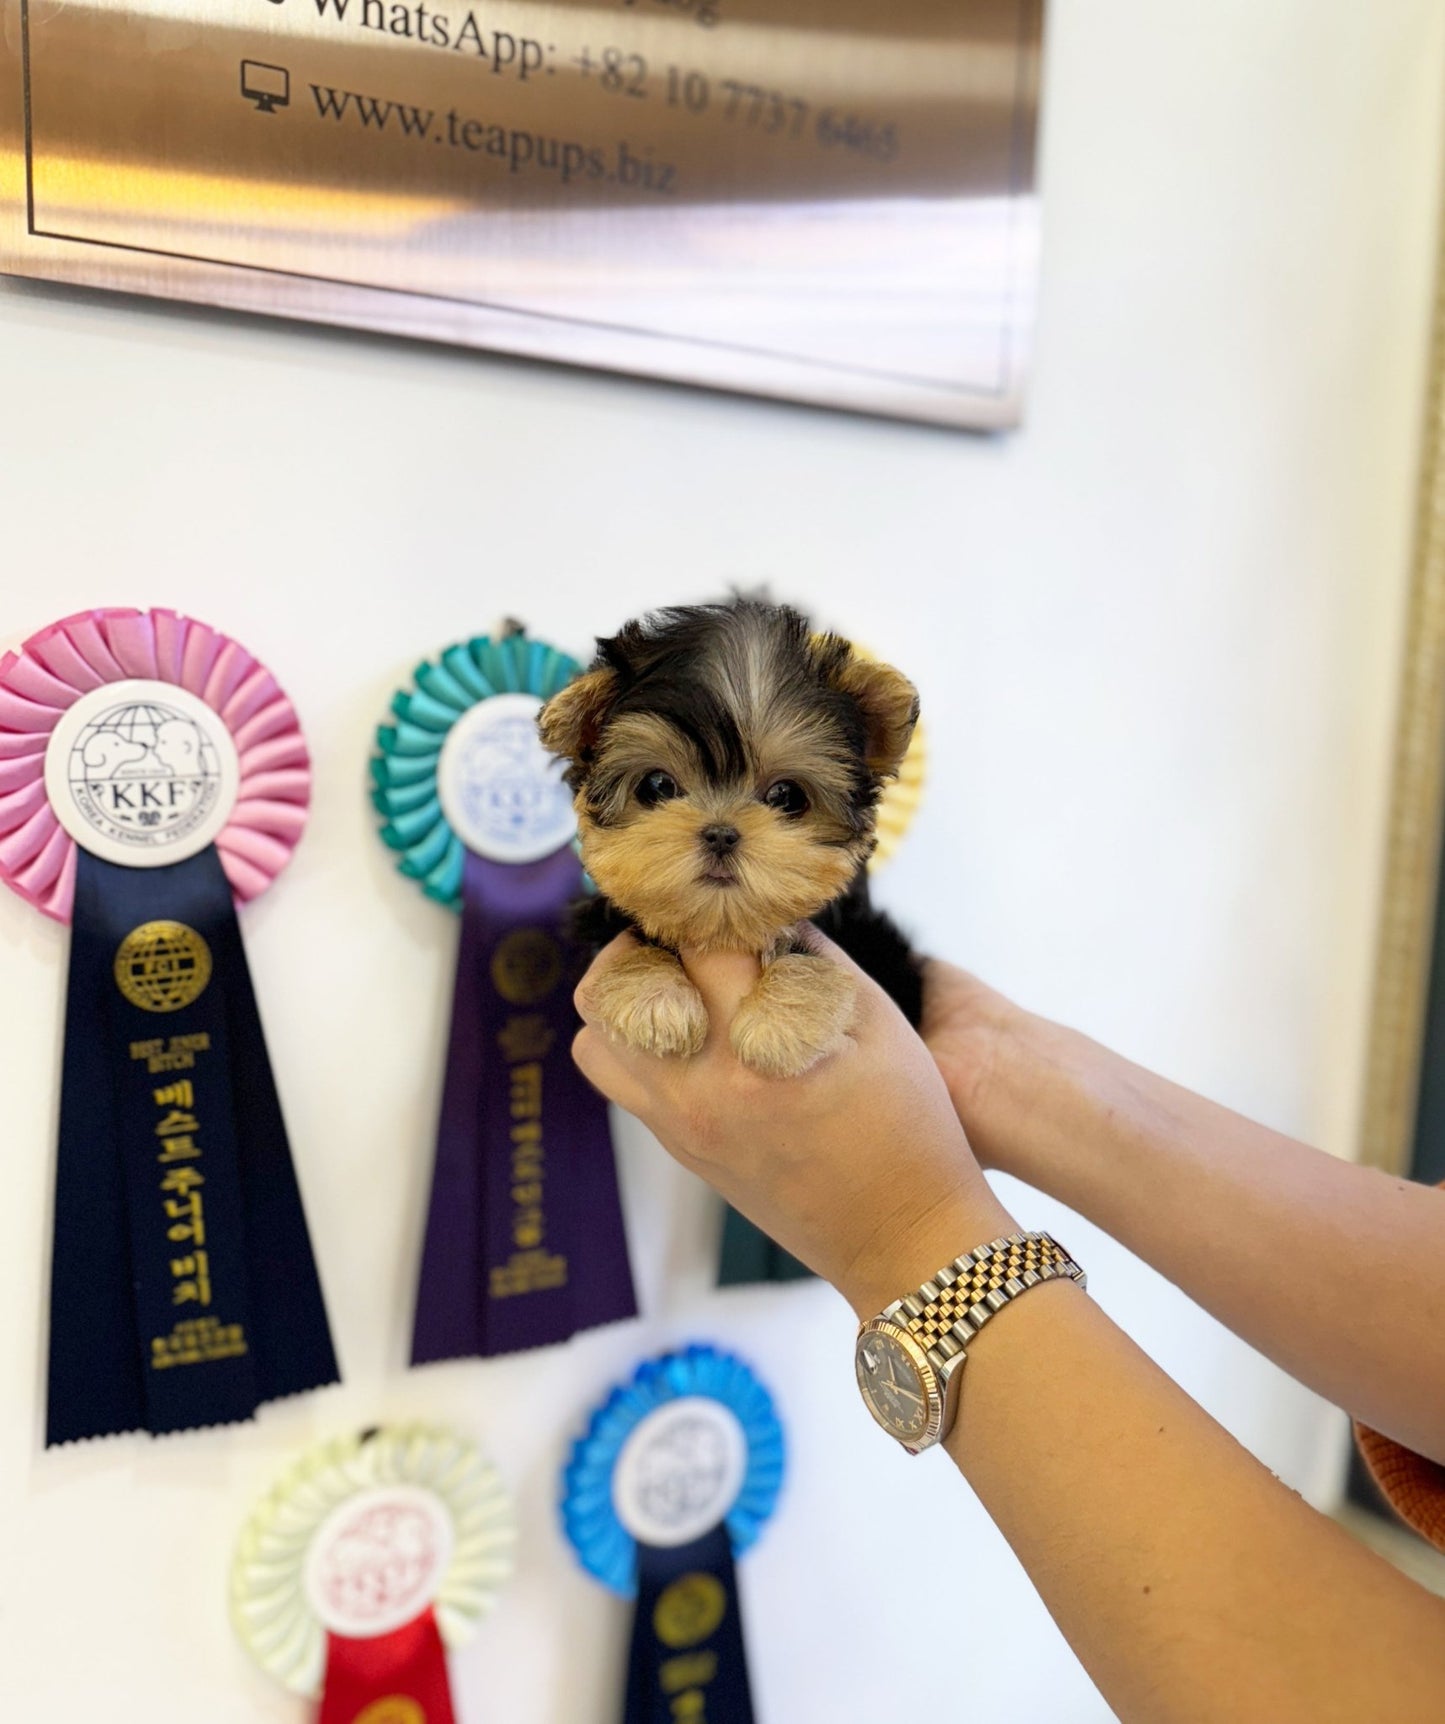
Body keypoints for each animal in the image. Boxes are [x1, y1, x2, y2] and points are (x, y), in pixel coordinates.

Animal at [537, 599, 924, 1068]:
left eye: (786, 795)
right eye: (658, 786)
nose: (721, 834)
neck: (721, 933)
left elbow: (800, 946)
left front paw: (785, 1015)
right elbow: (633, 936)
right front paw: (653, 996)